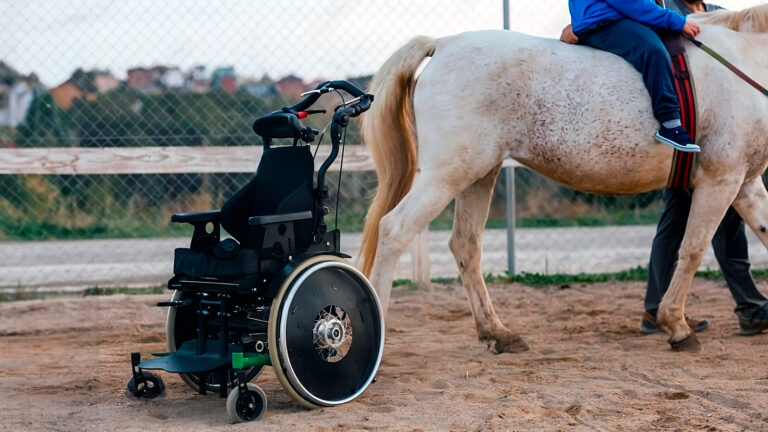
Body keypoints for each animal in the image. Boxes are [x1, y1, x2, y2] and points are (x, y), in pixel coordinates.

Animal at [358, 5, 768, 352]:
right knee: (394, 229)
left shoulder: (745, 184)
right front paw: (677, 326)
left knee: (465, 246)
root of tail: (443, 44)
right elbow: (693, 249)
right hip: (446, 174)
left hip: (478, 174)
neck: (743, 63)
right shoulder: (720, 179)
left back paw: (498, 333)